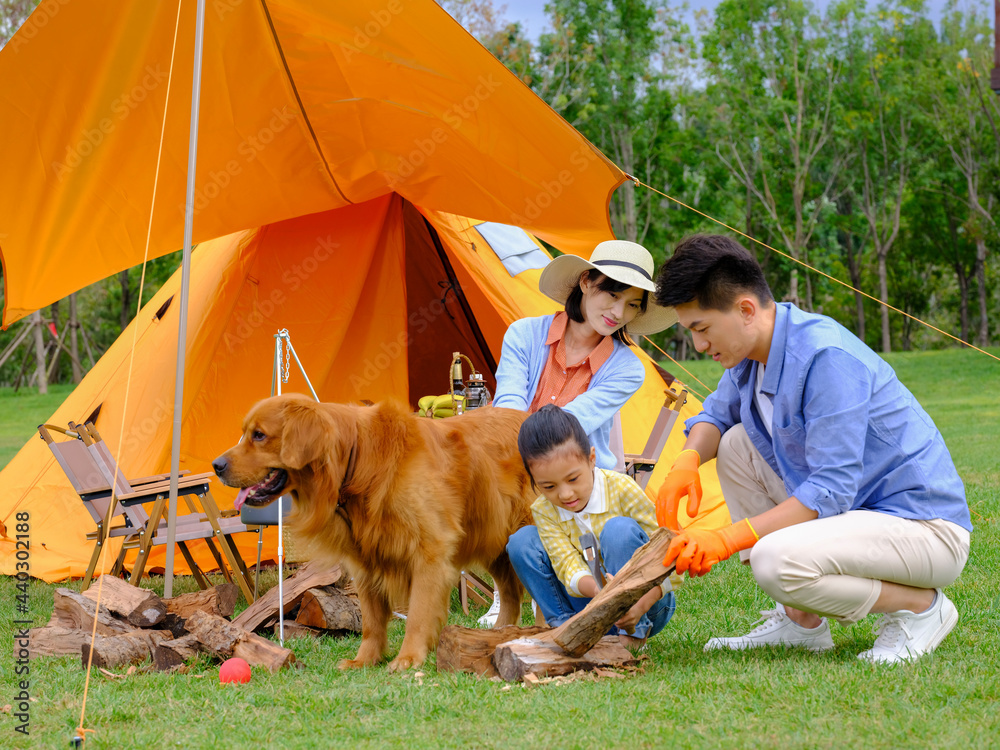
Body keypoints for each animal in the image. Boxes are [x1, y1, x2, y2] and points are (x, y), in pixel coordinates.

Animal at [214, 396, 536, 672]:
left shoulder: (430, 553)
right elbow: (371, 620)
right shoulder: (366, 561)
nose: (216, 465)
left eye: (259, 435)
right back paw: (500, 636)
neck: (358, 461)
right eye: (246, 433)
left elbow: (417, 614)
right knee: (510, 593)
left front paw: (408, 658)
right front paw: (365, 660)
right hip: (498, 542)